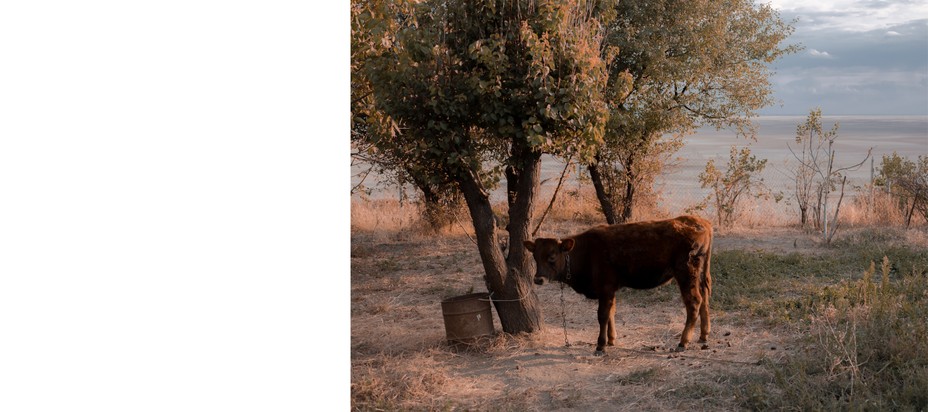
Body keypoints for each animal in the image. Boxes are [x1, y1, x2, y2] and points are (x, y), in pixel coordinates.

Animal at [524, 216, 716, 354]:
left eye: (552, 256)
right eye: (535, 256)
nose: (538, 279)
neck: (586, 252)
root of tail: (702, 222)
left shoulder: (605, 287)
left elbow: (602, 315)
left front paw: (600, 345)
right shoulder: (610, 289)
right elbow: (611, 312)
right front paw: (611, 339)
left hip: (686, 274)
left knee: (694, 302)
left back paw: (683, 342)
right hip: (700, 274)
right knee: (705, 298)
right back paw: (703, 336)